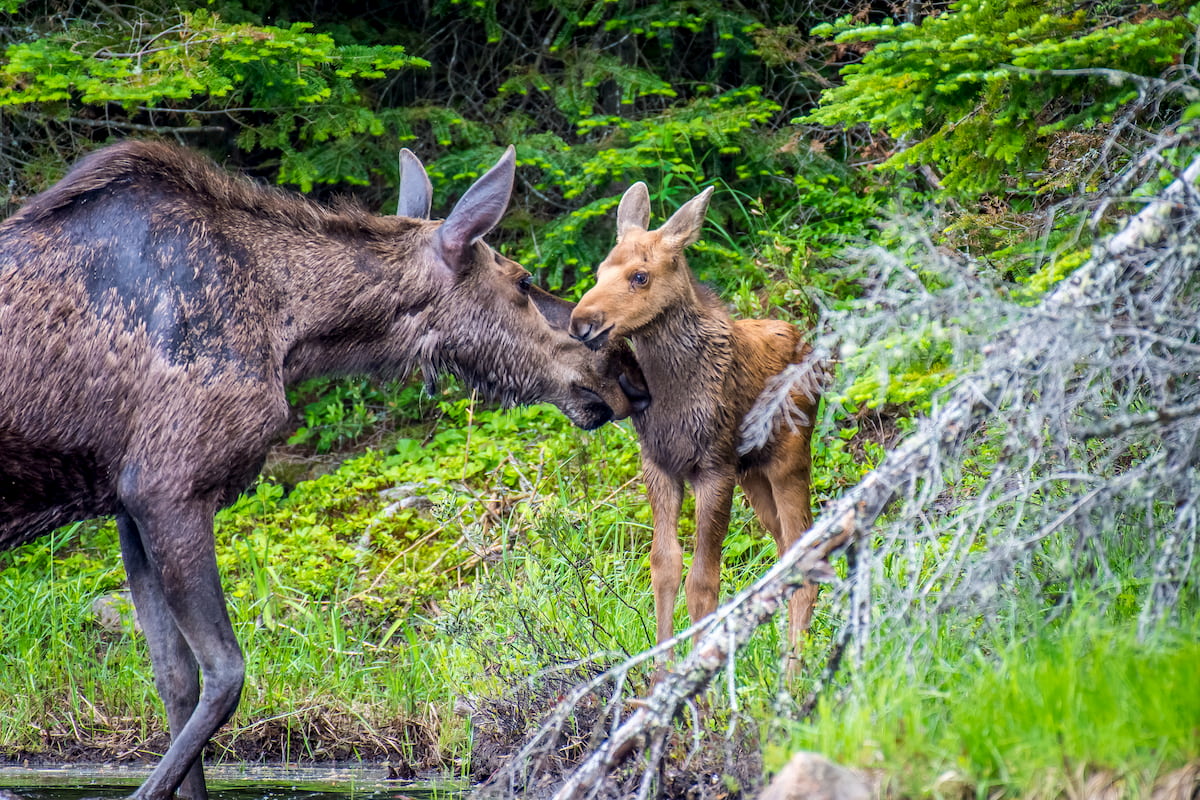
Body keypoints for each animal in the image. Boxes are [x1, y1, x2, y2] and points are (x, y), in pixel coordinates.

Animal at [0, 139, 648, 800]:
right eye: (522, 280)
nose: (624, 374)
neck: (292, 333)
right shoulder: (168, 484)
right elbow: (226, 673)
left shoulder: (125, 505)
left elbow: (175, 681)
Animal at [571, 183, 825, 676]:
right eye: (599, 271)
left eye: (640, 276)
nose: (581, 321)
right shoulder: (660, 467)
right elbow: (664, 566)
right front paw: (660, 676)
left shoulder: (713, 469)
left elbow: (703, 581)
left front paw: (699, 681)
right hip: (753, 475)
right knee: (785, 550)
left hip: (787, 459)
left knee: (805, 554)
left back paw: (793, 677)